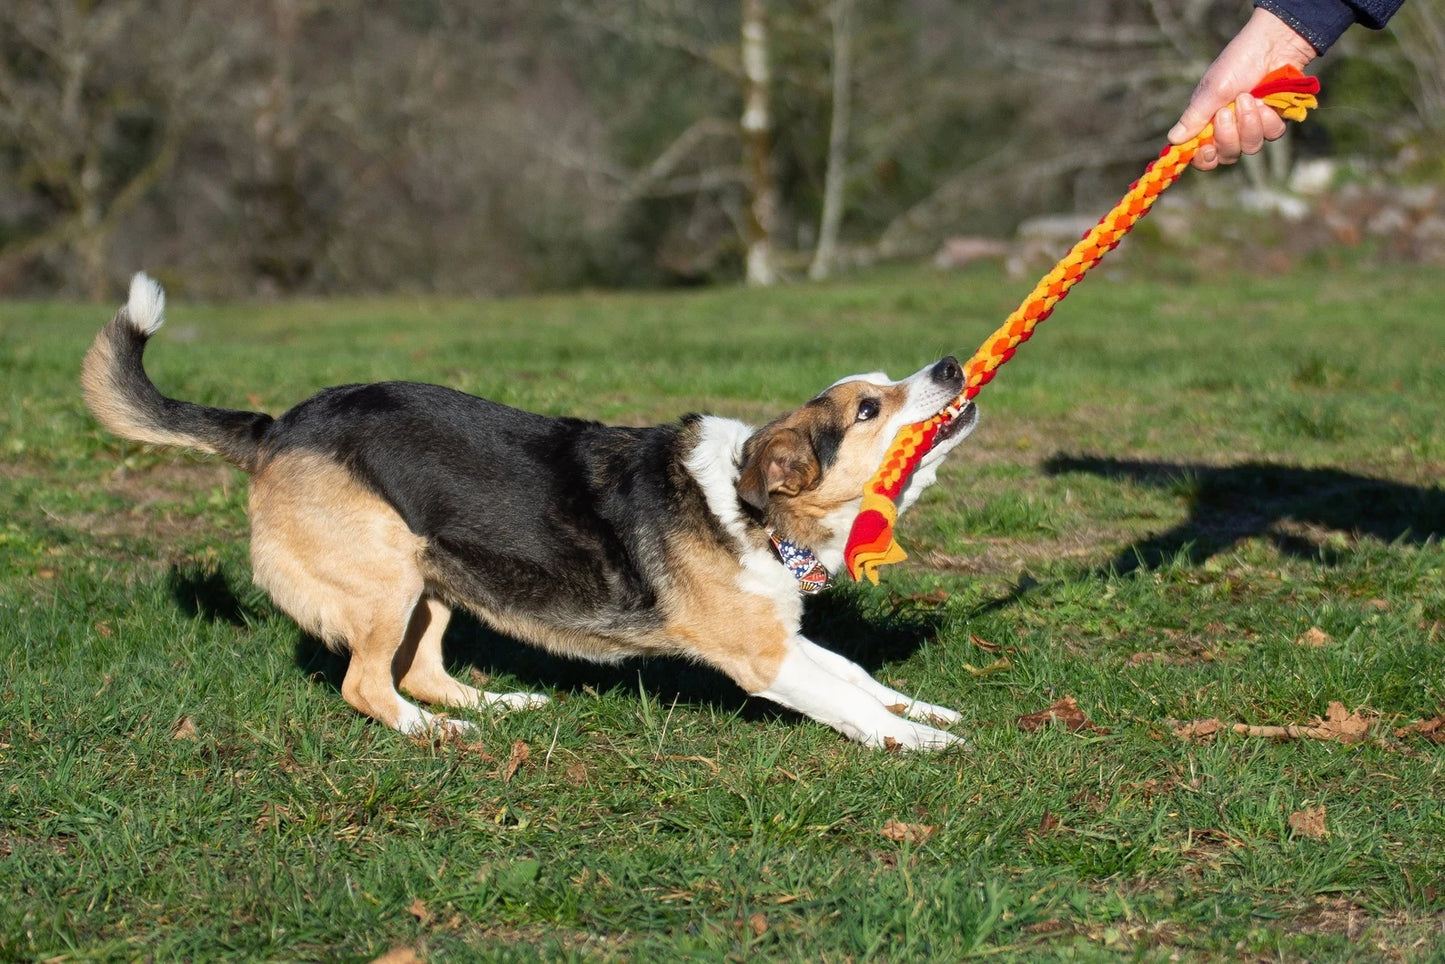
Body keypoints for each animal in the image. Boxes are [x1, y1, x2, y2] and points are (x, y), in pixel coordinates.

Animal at [82, 274, 982, 751]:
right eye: (868, 409)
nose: (950, 363)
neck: (749, 508)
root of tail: (274, 429)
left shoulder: (781, 637)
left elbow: (860, 676)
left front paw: (926, 710)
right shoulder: (761, 658)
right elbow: (850, 702)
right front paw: (927, 743)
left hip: (436, 581)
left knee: (420, 669)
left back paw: (501, 706)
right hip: (386, 577)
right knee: (367, 685)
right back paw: (431, 734)